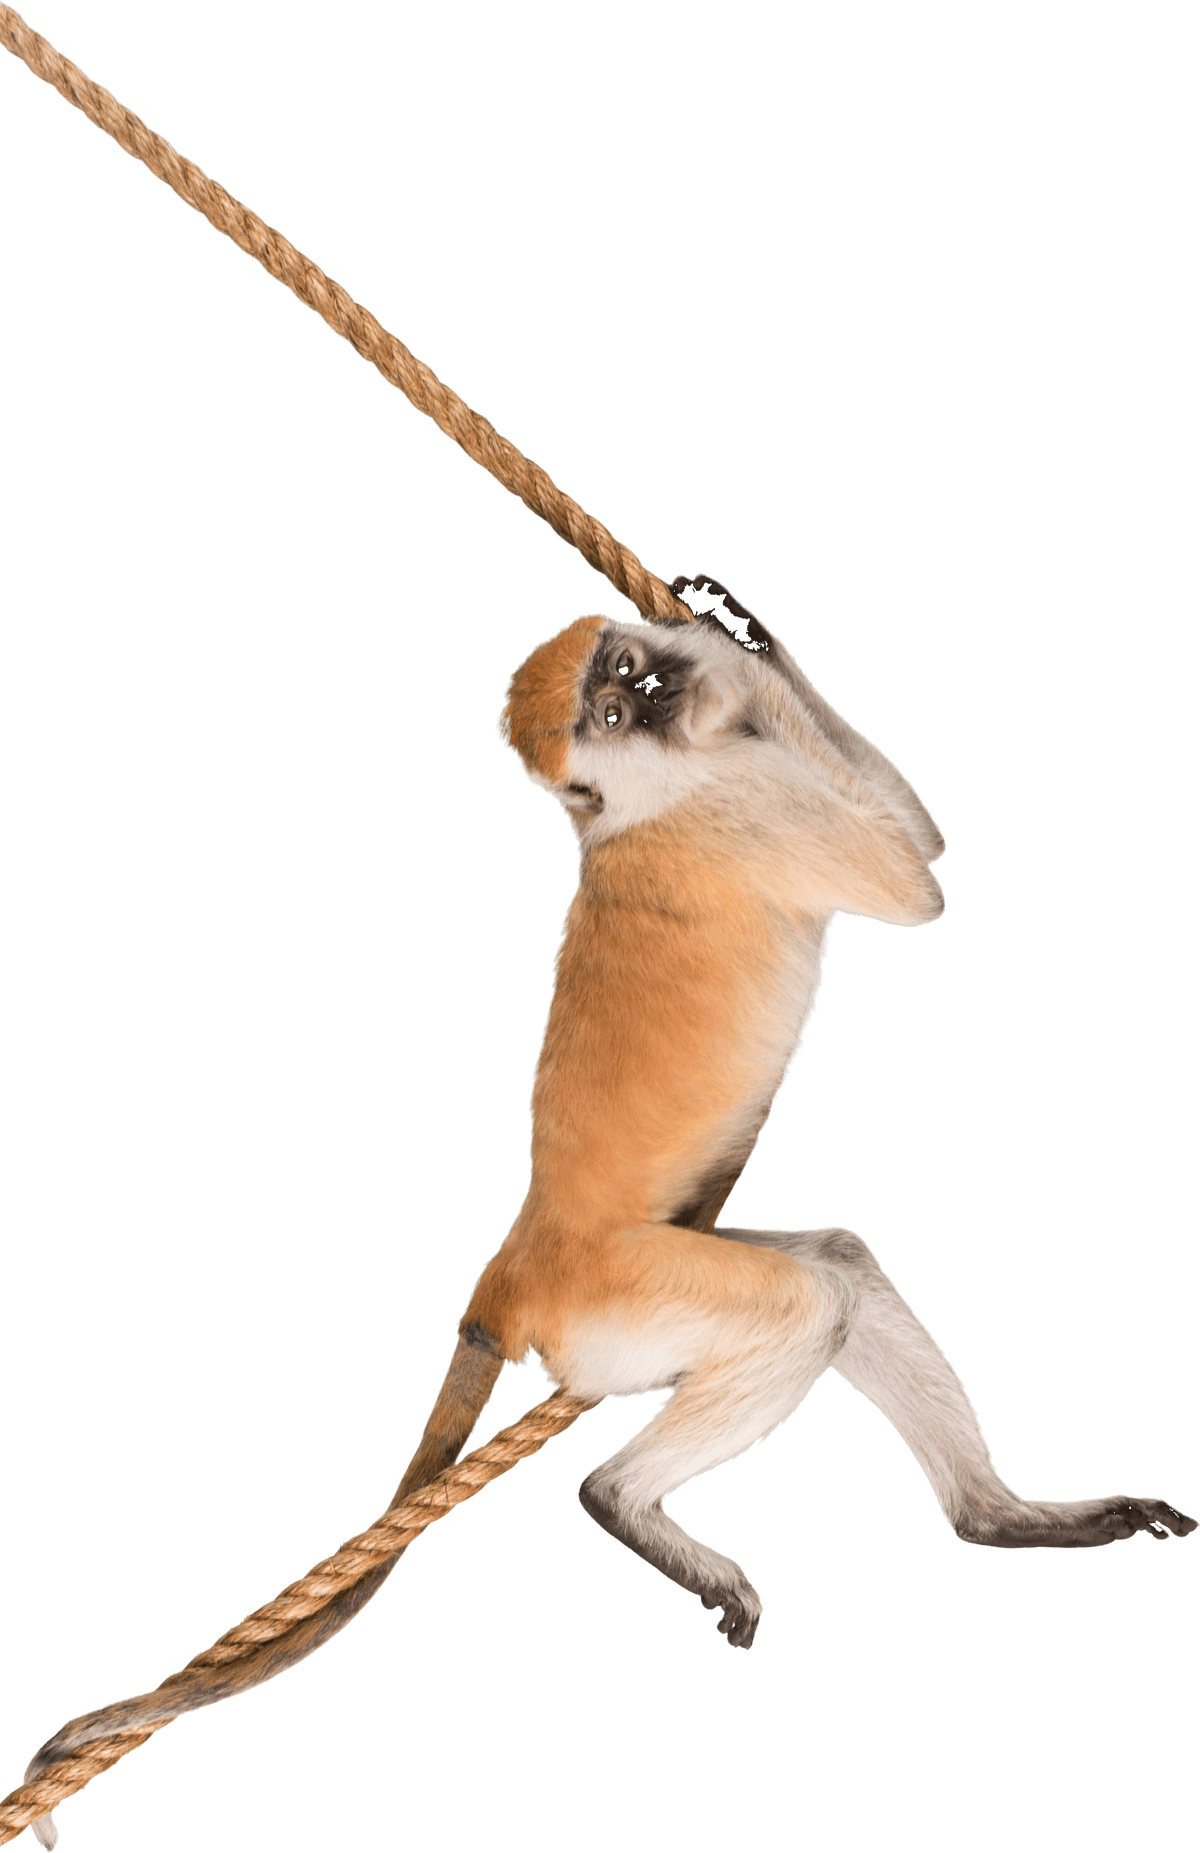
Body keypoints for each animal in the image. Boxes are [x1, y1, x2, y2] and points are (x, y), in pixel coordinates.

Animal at [22, 591, 1196, 1852]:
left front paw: (740, 634)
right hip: (625, 1301)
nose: (656, 688)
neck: (640, 803)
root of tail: (517, 1266)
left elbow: (912, 843)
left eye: (623, 672)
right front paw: (747, 660)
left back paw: (993, 1516)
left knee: (841, 1264)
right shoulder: (738, 808)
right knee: (806, 1305)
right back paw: (624, 1500)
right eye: (615, 713)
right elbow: (915, 882)